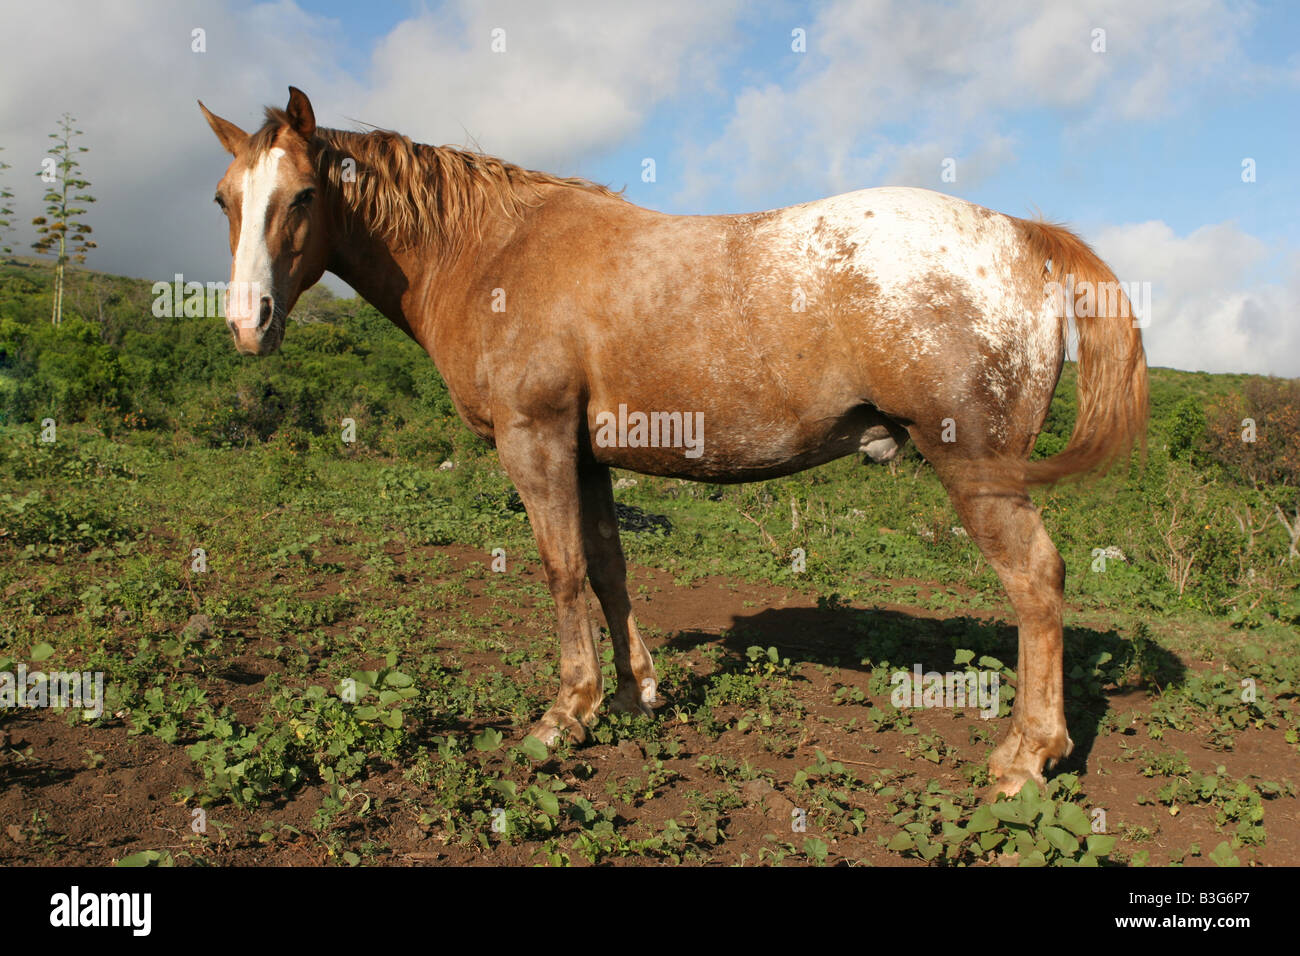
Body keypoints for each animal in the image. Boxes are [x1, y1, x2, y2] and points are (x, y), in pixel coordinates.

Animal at [197, 89, 1144, 796]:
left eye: (304, 196)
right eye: (225, 199)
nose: (247, 325)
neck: (493, 254)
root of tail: (1022, 236)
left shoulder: (535, 442)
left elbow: (562, 570)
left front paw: (566, 712)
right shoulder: (586, 457)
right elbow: (608, 569)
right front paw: (631, 692)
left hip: (978, 470)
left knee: (1037, 583)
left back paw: (1028, 755)